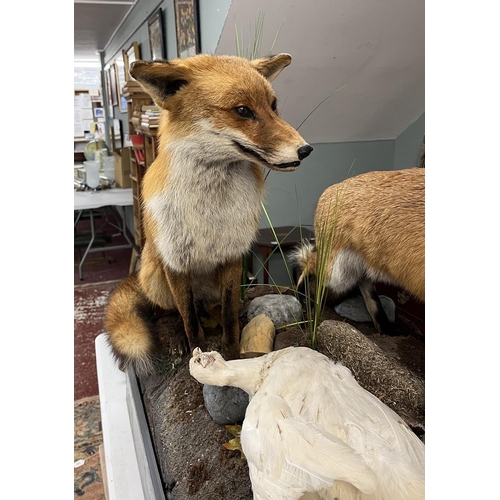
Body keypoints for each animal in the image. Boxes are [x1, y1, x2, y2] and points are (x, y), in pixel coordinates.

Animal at [104, 53, 312, 376]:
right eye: (243, 110)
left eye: (273, 106)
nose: (305, 150)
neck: (211, 210)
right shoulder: (175, 262)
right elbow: (190, 320)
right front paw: (195, 354)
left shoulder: (232, 256)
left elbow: (228, 317)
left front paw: (232, 355)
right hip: (155, 274)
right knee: (173, 311)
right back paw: (177, 334)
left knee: (214, 308)